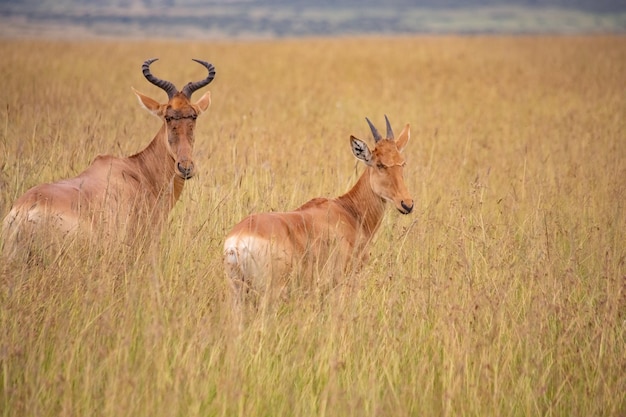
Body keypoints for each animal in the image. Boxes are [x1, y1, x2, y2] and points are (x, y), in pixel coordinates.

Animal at [222, 115, 412, 308]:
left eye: (402, 162)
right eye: (379, 164)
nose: (407, 204)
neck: (348, 210)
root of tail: (236, 243)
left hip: (237, 294)